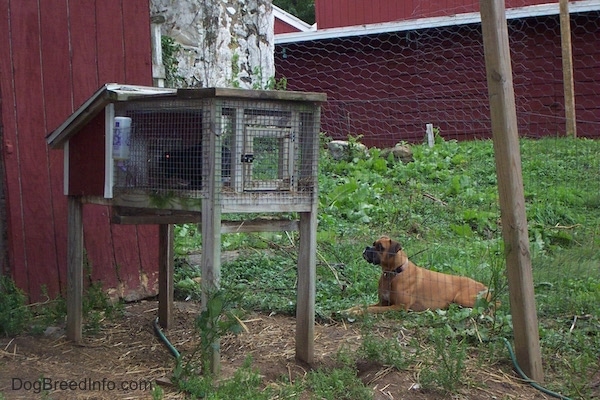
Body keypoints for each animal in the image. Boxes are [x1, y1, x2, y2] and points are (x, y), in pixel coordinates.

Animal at [346, 236, 492, 314]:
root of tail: (486, 288)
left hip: (462, 299)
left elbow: (370, 309)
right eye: (373, 244)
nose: (367, 248)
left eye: (380, 247)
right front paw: (349, 310)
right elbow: (364, 305)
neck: (393, 274)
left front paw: (357, 312)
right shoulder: (383, 302)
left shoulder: (398, 307)